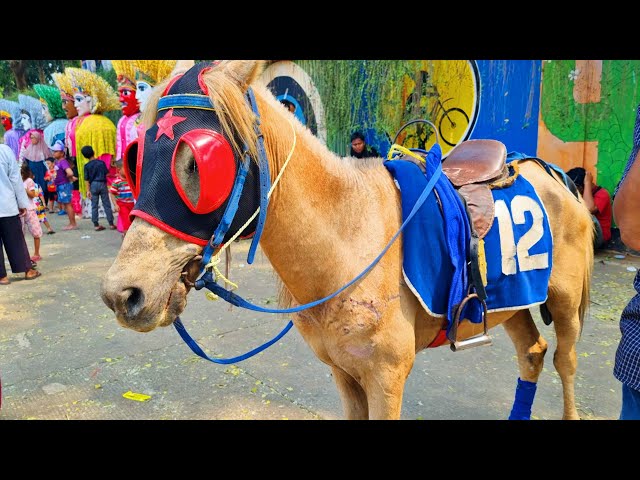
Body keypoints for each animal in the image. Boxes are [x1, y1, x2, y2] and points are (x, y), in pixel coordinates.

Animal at [100, 60, 596, 420]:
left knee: (565, 361)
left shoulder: (386, 379)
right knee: (532, 354)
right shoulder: (344, 375)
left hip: (564, 300)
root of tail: (550, 172)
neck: (346, 239)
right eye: (135, 158)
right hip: (511, 300)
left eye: (198, 163)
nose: (121, 294)